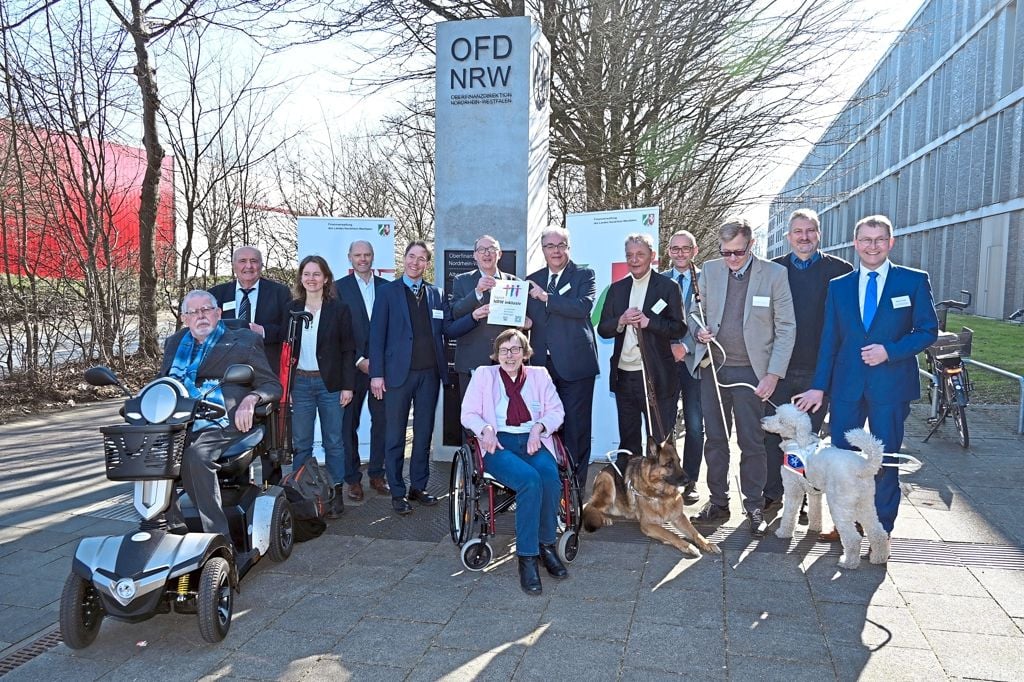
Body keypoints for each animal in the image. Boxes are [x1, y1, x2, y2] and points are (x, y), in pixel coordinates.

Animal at [585, 438, 720, 557]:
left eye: (679, 461)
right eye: (669, 464)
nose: (688, 481)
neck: (661, 493)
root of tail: (605, 468)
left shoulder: (679, 517)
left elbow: (695, 533)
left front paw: (708, 543)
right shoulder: (648, 524)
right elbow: (671, 534)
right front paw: (689, 546)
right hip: (608, 485)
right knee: (588, 505)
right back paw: (604, 518)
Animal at [761, 403, 888, 569]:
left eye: (781, 421)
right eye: (776, 413)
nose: (762, 421)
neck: (797, 441)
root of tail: (863, 466)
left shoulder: (792, 489)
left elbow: (789, 514)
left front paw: (783, 532)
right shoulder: (815, 492)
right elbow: (815, 511)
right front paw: (815, 527)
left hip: (839, 505)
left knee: (853, 539)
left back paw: (848, 562)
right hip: (865, 503)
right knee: (878, 532)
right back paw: (879, 558)